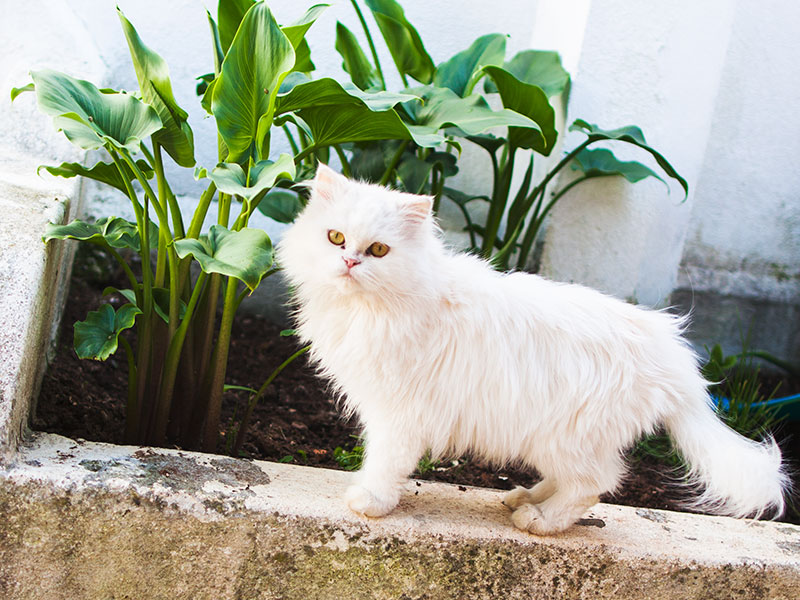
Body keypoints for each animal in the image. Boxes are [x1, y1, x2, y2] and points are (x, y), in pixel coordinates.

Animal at [280, 164, 788, 536]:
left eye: (379, 251)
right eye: (336, 238)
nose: (350, 262)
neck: (374, 308)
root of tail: (676, 357)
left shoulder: (399, 413)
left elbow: (386, 462)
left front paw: (371, 502)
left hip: (567, 436)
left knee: (597, 484)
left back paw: (540, 520)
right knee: (576, 481)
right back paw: (524, 496)